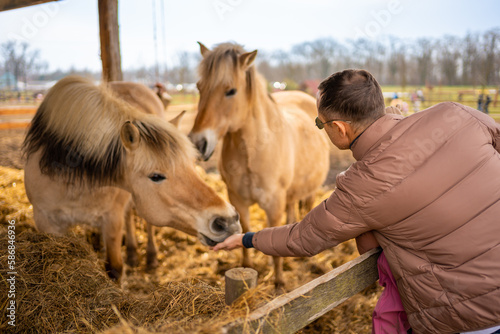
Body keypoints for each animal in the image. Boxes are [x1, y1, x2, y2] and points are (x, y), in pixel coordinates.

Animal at [23, 76, 242, 282]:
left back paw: (150, 257)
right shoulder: (46, 222)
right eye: (156, 176)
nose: (228, 221)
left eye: (191, 164)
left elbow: (114, 269)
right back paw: (132, 253)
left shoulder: (111, 220)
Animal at [189, 42, 330, 290]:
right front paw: (247, 267)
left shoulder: (273, 205)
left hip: (309, 191)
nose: (198, 143)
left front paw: (279, 281)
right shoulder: (238, 201)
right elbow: (246, 229)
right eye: (199, 87)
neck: (252, 152)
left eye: (231, 91)